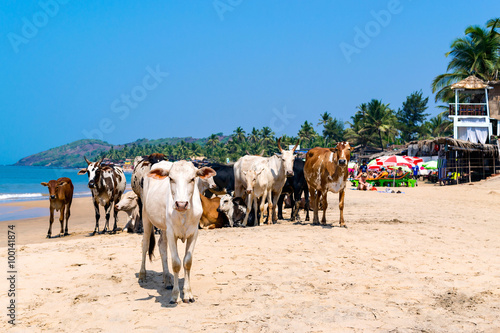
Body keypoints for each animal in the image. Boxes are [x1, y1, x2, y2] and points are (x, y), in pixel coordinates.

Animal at [139, 160, 215, 302]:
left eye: (192, 179)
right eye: (171, 178)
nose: (181, 204)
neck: (184, 214)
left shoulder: (194, 233)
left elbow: (187, 262)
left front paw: (188, 293)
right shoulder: (171, 233)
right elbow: (176, 263)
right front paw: (175, 295)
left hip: (164, 227)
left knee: (162, 246)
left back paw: (167, 280)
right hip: (146, 216)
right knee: (145, 244)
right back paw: (142, 275)